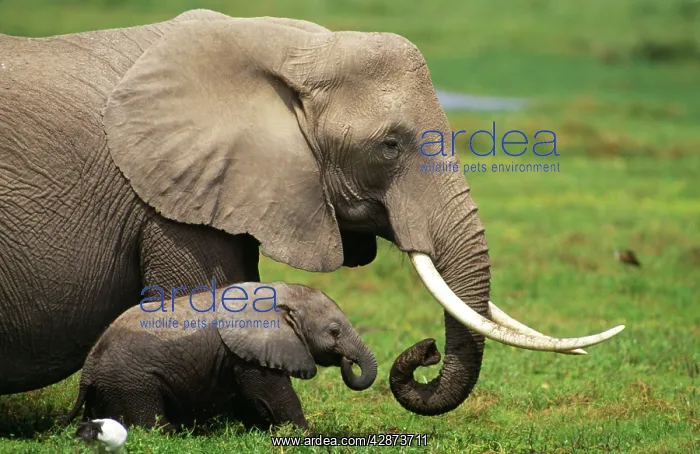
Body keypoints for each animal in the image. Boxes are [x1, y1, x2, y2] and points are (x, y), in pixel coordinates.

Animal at [64, 281, 377, 431]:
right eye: (334, 331)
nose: (347, 360)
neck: (281, 294)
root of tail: (88, 369)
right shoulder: (249, 353)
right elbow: (272, 394)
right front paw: (304, 435)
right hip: (131, 382)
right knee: (151, 422)